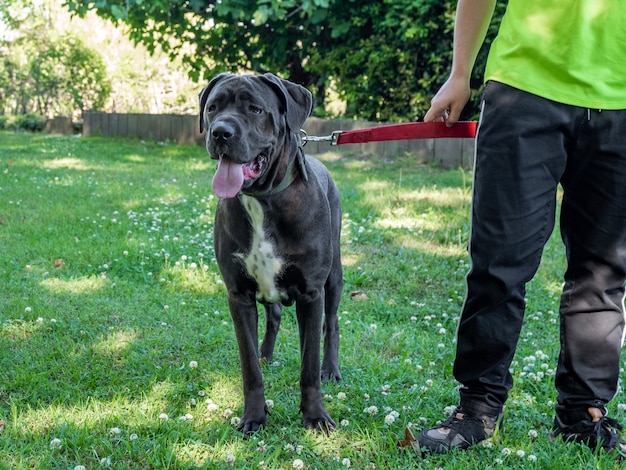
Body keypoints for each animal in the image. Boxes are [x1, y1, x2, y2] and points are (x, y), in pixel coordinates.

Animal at [197, 72, 342, 434]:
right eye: (213, 107)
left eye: (255, 108)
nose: (221, 131)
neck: (262, 199)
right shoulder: (239, 295)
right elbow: (249, 366)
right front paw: (253, 416)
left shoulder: (311, 292)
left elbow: (309, 364)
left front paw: (315, 416)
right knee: (274, 315)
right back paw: (267, 353)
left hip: (334, 277)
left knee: (331, 324)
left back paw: (331, 369)